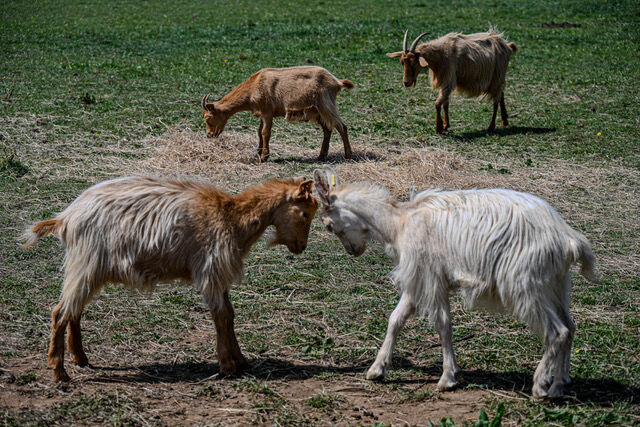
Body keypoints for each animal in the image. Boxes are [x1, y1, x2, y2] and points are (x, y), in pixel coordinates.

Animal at [21, 176, 318, 382]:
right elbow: (221, 316)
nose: (301, 247)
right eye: (305, 213)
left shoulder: (219, 275)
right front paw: (228, 366)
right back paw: (60, 372)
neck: (232, 219)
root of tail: (65, 218)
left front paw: (241, 360)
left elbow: (230, 315)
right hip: (86, 263)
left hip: (89, 269)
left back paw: (80, 358)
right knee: (60, 312)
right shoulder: (211, 270)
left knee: (74, 310)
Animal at [202, 66, 354, 162]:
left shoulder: (267, 112)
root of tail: (337, 82)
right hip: (317, 111)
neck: (254, 86)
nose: (209, 135)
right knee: (327, 129)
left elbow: (265, 133)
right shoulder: (262, 114)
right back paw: (321, 156)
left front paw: (264, 157)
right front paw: (258, 152)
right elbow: (259, 132)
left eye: (208, 117)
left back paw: (348, 156)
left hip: (326, 105)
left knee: (341, 127)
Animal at [313, 167, 600, 398]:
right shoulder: (417, 280)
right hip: (556, 284)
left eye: (328, 225)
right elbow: (396, 319)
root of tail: (568, 238)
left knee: (557, 331)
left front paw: (447, 378)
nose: (353, 251)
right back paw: (560, 384)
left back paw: (541, 386)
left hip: (525, 284)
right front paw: (376, 370)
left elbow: (443, 325)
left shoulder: (431, 278)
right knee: (570, 326)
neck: (399, 222)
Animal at [387, 30, 517, 133]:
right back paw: (504, 120)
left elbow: (437, 103)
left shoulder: (448, 79)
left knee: (496, 100)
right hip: (498, 77)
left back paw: (491, 127)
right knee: (501, 95)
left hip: (497, 75)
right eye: (402, 62)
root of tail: (506, 45)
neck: (441, 53)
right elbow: (445, 104)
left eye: (414, 62)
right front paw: (446, 125)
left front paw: (438, 128)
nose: (406, 82)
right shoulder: (444, 81)